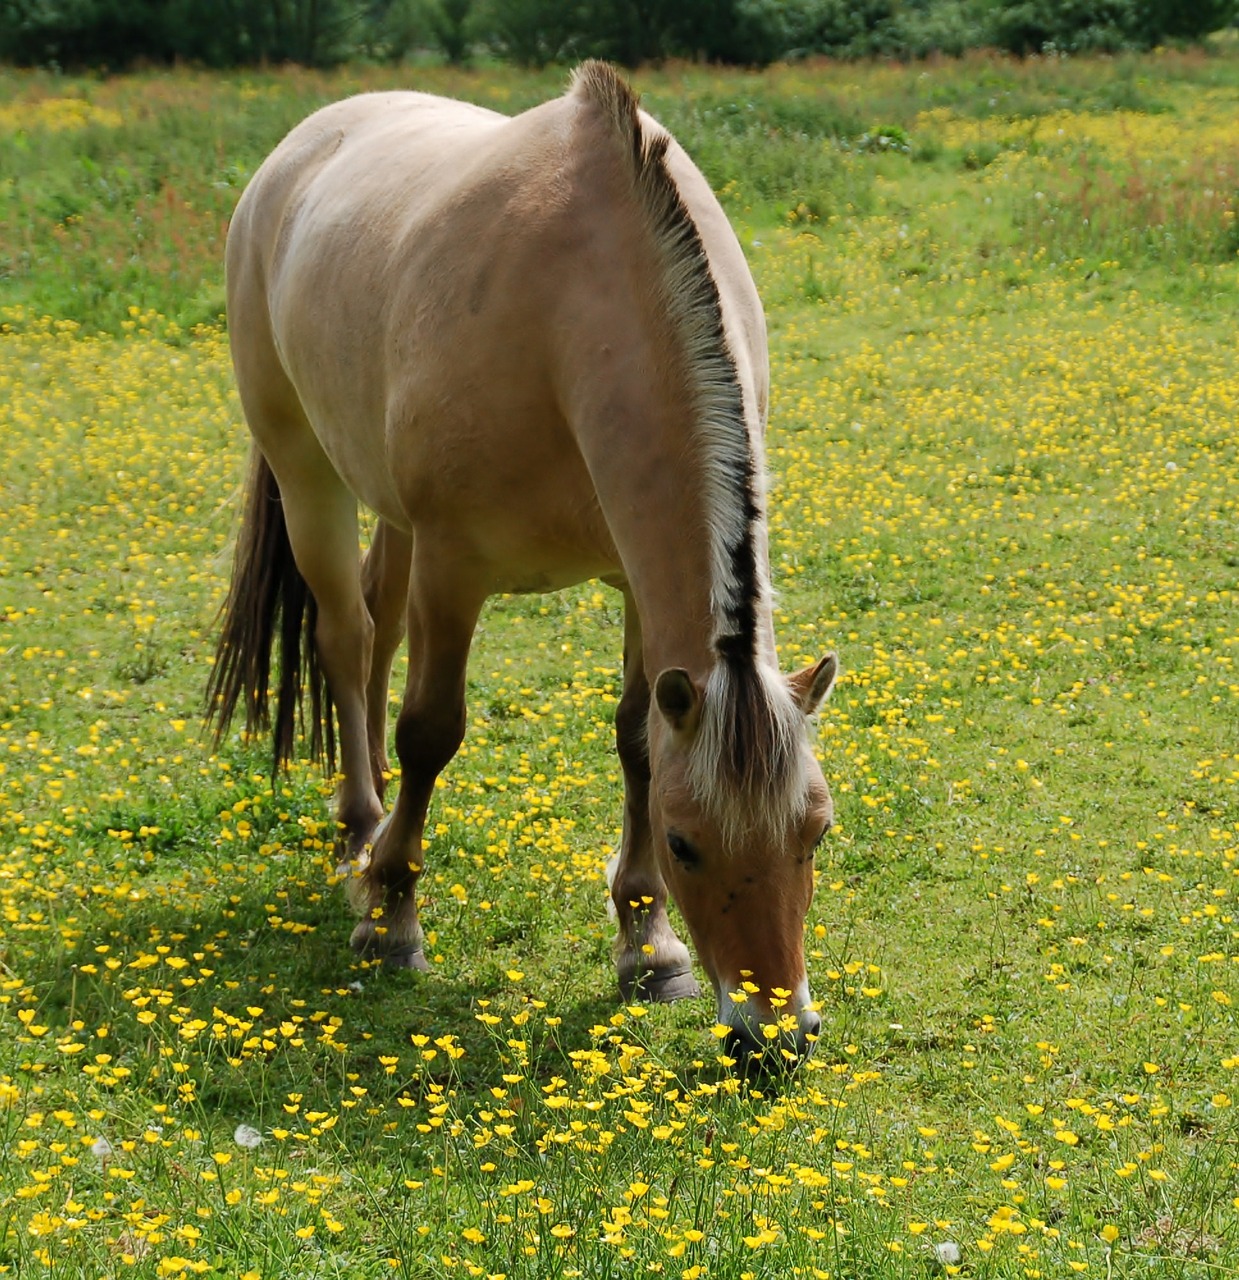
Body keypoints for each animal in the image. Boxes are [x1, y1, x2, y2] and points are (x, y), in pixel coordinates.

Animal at [208, 60, 839, 1064]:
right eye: (686, 841)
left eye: (814, 834)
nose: (775, 1038)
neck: (570, 313)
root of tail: (297, 148)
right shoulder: (453, 567)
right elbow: (431, 731)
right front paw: (391, 920)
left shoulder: (635, 588)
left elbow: (633, 739)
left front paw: (647, 948)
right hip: (309, 472)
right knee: (345, 636)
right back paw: (360, 834)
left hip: (390, 515)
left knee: (376, 624)